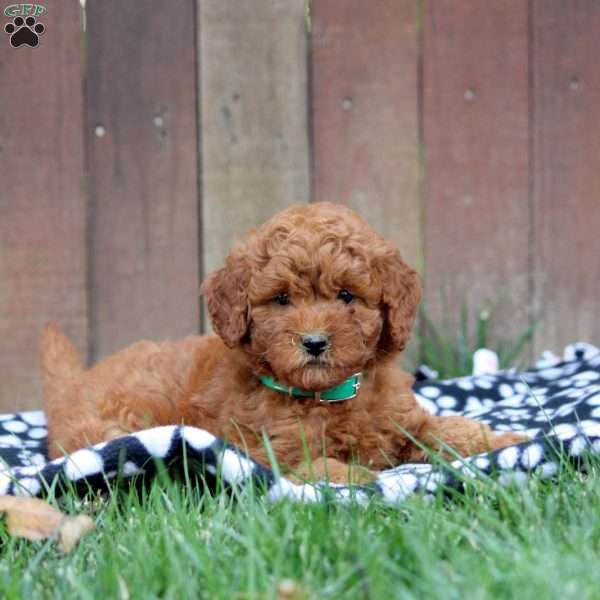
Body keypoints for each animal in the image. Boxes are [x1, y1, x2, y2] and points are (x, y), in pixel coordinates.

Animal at [39, 202, 524, 482]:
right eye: (282, 299)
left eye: (346, 296)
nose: (314, 343)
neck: (329, 398)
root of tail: (73, 384)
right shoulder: (268, 449)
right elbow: (319, 466)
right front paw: (358, 479)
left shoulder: (404, 422)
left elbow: (450, 429)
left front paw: (505, 441)